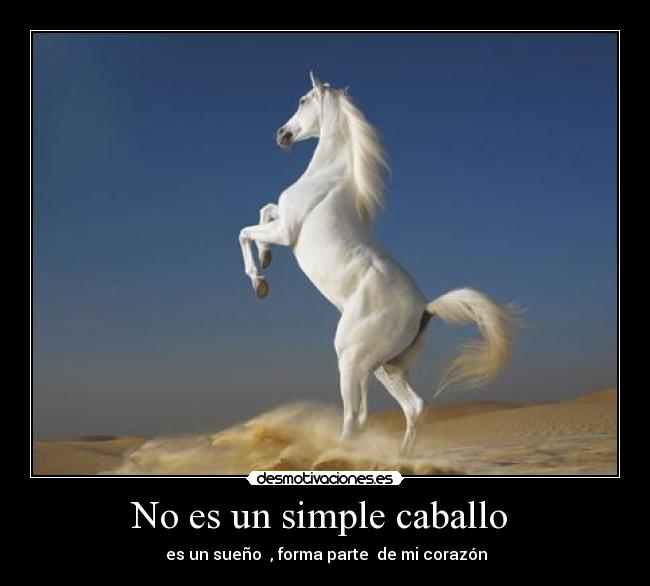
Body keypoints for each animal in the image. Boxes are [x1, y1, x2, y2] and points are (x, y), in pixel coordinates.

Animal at [238, 72, 518, 454]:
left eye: (303, 100)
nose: (282, 134)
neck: (326, 179)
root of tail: (425, 308)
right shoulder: (282, 223)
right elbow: (264, 210)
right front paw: (266, 259)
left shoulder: (287, 231)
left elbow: (245, 231)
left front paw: (259, 280)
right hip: (387, 367)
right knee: (414, 408)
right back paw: (400, 458)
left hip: (351, 360)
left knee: (357, 418)